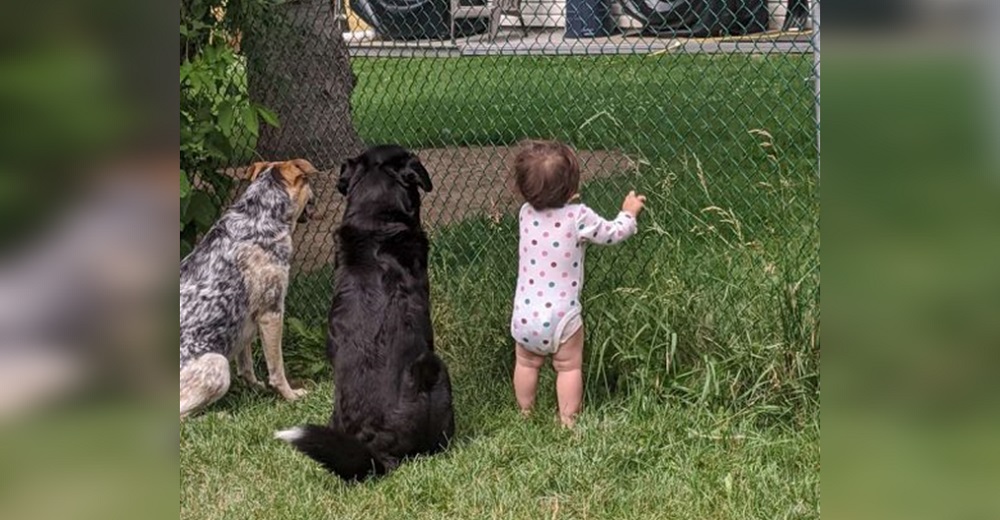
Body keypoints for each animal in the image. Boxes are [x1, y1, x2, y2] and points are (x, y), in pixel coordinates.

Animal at [181, 160, 316, 420]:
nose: (315, 198)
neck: (257, 219)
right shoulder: (271, 313)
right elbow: (277, 368)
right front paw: (291, 396)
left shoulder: (245, 319)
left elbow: (246, 365)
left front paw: (255, 388)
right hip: (218, 365)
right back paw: (218, 416)